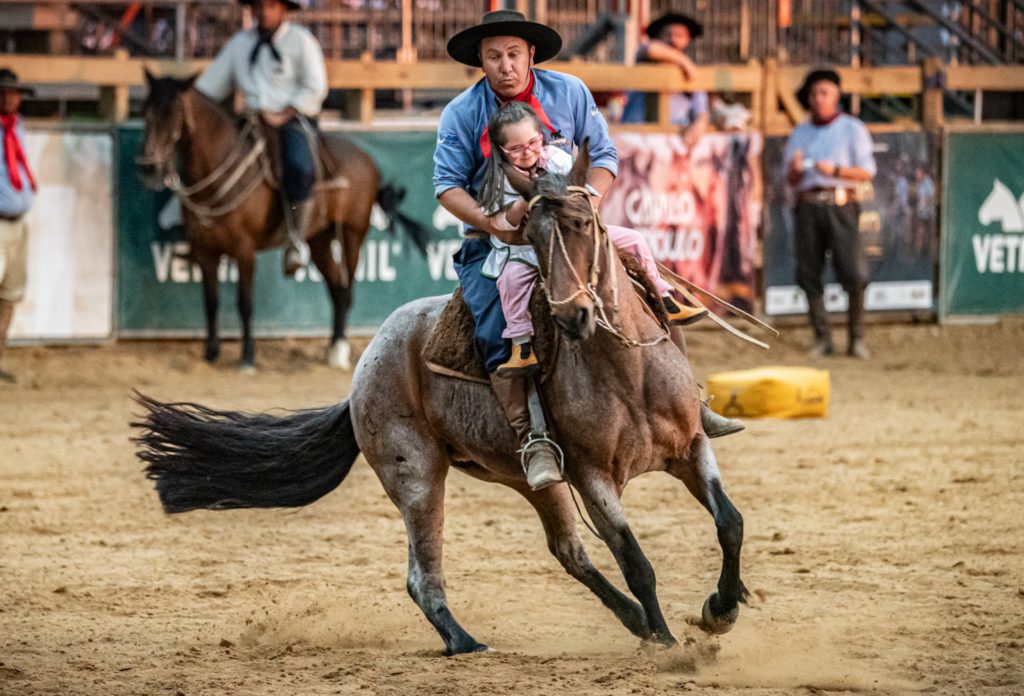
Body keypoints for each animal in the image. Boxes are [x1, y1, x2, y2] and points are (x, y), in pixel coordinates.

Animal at [132, 142, 749, 659]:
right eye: (531, 236)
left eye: (581, 224)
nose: (573, 314)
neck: (628, 372)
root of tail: (366, 364)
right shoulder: (594, 476)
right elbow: (635, 560)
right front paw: (669, 643)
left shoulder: (691, 447)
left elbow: (729, 522)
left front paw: (720, 608)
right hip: (417, 475)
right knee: (423, 576)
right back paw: (465, 640)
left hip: (529, 479)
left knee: (568, 551)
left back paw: (629, 620)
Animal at [134, 72, 430, 370]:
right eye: (146, 111)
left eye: (174, 113)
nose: (148, 167)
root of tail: (368, 161)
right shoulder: (205, 249)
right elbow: (211, 301)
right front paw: (211, 353)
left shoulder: (244, 250)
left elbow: (244, 303)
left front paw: (247, 357)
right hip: (320, 239)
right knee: (335, 288)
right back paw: (332, 347)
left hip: (352, 234)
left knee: (346, 290)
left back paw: (340, 350)